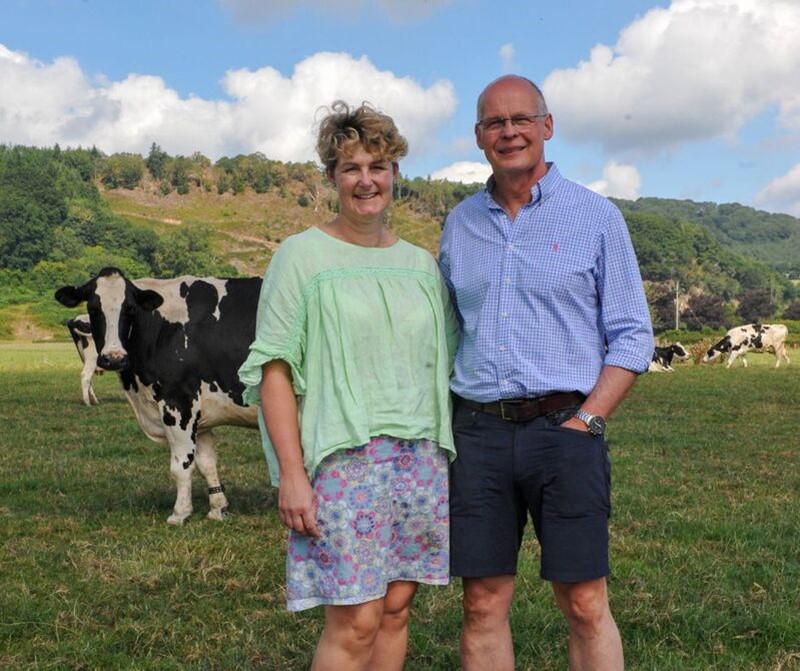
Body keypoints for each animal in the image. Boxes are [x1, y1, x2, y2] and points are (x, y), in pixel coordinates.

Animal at [54, 268, 260, 524]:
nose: (114, 357)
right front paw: (217, 509)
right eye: (93, 308)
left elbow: (181, 466)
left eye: (130, 309)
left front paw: (179, 514)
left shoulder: (178, 402)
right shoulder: (200, 414)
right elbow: (206, 463)